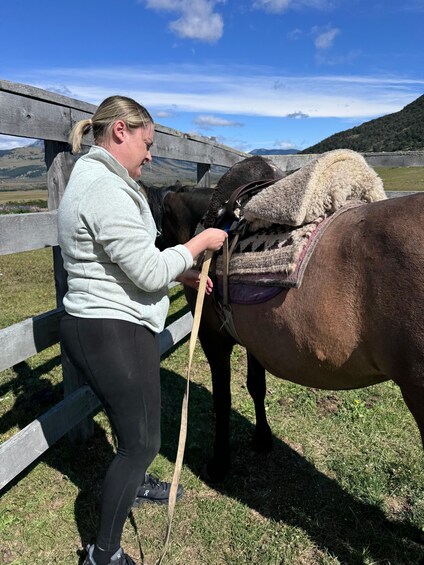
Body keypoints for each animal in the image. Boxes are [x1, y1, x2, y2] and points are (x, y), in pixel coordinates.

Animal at [146, 156, 424, 482]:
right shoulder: (253, 338)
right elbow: (256, 386)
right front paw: (262, 438)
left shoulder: (213, 337)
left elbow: (222, 399)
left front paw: (219, 463)